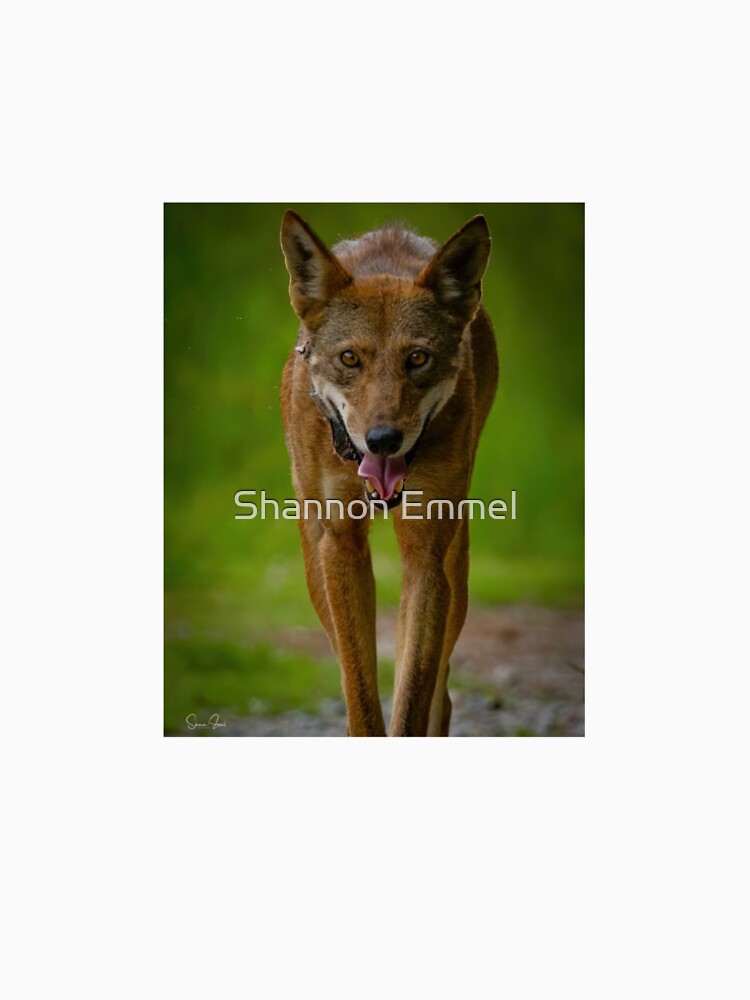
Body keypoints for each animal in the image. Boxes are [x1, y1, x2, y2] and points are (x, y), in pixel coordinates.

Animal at [280, 211, 498, 736]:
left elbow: (412, 692)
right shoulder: (341, 548)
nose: (382, 440)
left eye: (417, 358)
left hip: (455, 567)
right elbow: (360, 693)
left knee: (441, 690)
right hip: (315, 558)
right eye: (350, 358)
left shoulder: (425, 557)